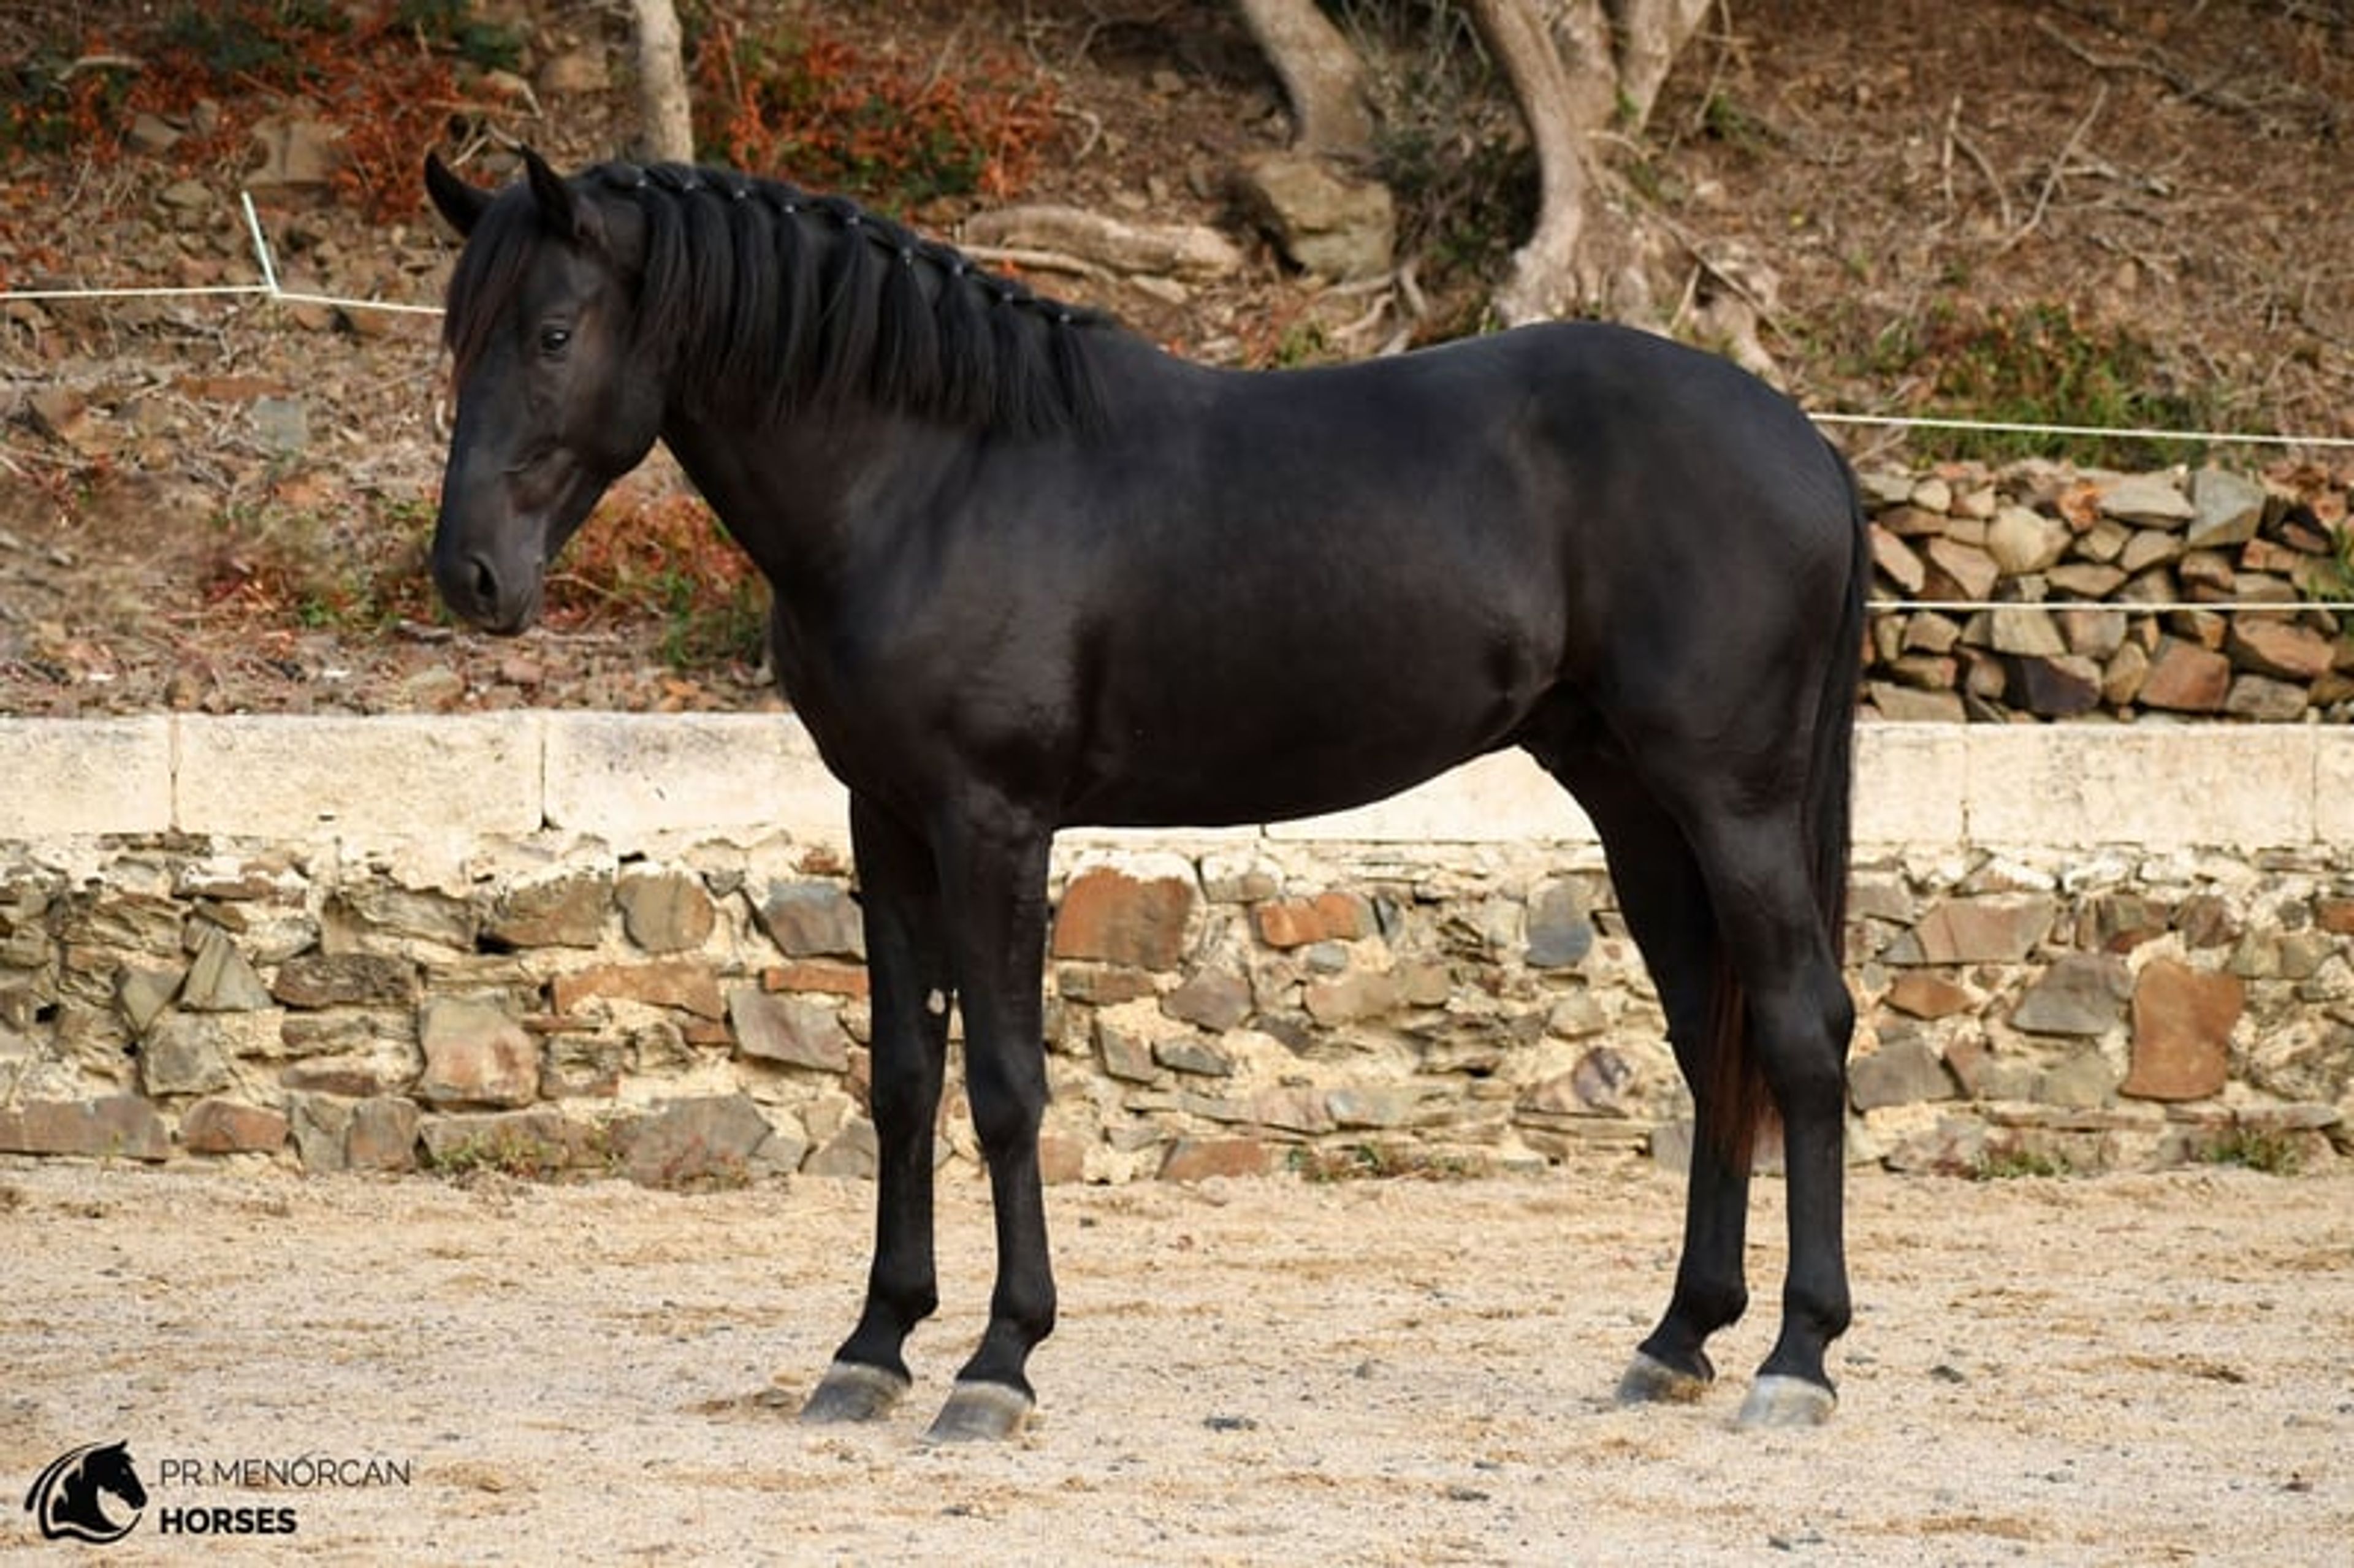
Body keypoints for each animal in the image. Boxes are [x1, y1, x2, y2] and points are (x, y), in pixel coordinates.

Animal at [422, 148, 1866, 1441]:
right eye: (458, 334)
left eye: (552, 332)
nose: (470, 574)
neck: (933, 478)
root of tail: (1807, 445)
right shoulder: (886, 822)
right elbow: (901, 1078)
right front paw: (873, 1346)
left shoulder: (993, 822)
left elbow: (1007, 1085)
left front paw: (998, 1361)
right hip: (1638, 808)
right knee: (1712, 1033)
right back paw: (1680, 1338)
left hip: (1731, 802)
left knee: (1802, 1028)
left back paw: (1798, 1357)